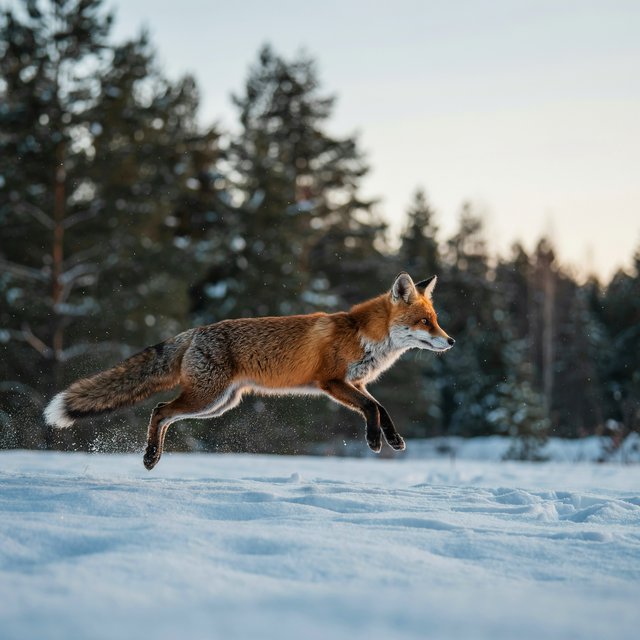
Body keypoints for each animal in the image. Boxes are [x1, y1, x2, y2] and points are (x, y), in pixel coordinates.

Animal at [44, 272, 454, 470]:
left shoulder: (356, 383)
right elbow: (371, 409)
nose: (450, 341)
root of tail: (195, 332)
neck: (363, 336)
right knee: (159, 409)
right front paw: (373, 442)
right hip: (207, 397)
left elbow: (381, 408)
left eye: (436, 320)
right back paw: (148, 457)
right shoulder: (332, 381)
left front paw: (394, 440)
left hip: (218, 404)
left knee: (163, 414)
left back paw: (154, 457)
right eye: (425, 322)